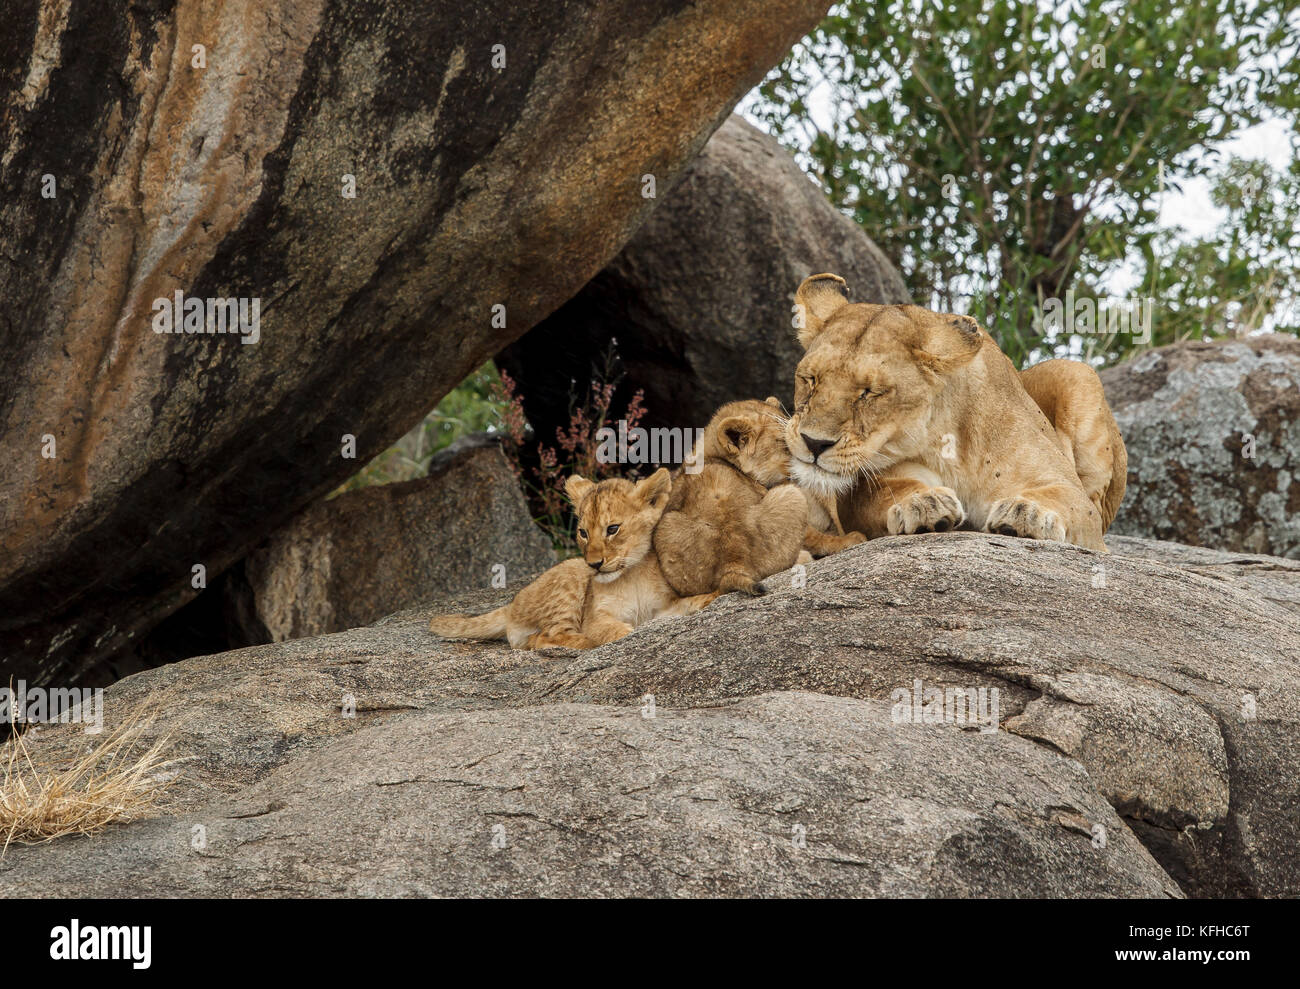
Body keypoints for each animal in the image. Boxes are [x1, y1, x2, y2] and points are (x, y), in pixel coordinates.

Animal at [783, 273, 1126, 552]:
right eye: (810, 379)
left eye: (871, 392)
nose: (814, 443)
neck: (947, 445)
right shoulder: (861, 491)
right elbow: (883, 493)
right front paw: (922, 504)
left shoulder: (1067, 488)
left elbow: (1068, 500)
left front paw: (1027, 513)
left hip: (1076, 372)